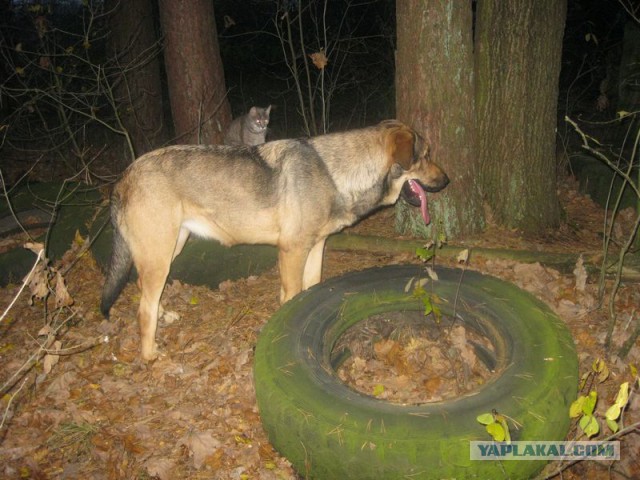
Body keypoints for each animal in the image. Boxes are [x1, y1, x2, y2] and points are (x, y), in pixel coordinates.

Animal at [101, 120, 450, 360]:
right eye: (426, 155)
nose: (447, 180)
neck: (335, 173)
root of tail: (123, 178)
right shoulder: (292, 251)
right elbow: (292, 295)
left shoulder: (315, 247)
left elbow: (311, 288)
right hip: (161, 253)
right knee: (143, 308)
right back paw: (150, 354)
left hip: (171, 247)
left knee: (143, 289)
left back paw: (164, 317)